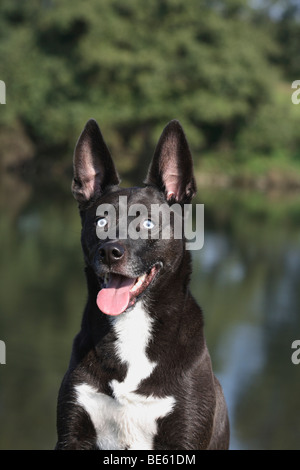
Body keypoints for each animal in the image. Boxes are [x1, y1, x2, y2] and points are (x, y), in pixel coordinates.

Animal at [55, 119, 230, 450]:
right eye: (100, 222)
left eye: (147, 223)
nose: (109, 252)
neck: (132, 323)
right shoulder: (73, 434)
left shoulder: (185, 436)